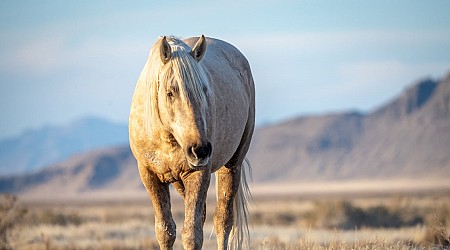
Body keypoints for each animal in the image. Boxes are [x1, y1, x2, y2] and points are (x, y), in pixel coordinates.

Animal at [128, 35, 255, 250]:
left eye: (204, 90)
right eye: (170, 92)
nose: (200, 151)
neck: (166, 138)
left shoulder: (199, 173)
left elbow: (192, 234)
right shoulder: (150, 175)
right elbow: (165, 231)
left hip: (232, 165)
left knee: (223, 220)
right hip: (180, 181)